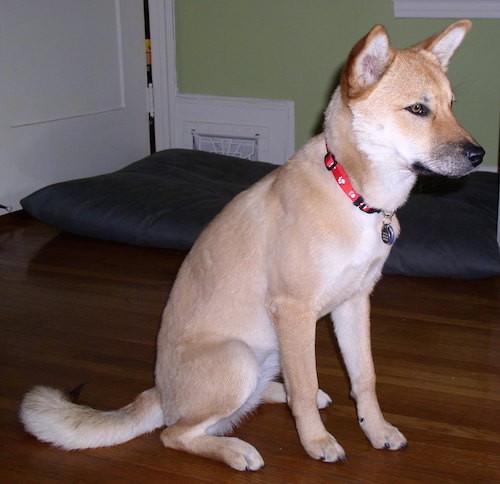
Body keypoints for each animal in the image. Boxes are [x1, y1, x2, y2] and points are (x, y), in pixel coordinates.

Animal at [20, 20, 484, 470]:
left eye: (452, 105)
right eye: (418, 109)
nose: (479, 155)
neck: (353, 193)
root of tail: (159, 395)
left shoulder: (353, 303)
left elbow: (363, 377)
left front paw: (377, 430)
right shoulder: (295, 311)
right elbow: (308, 381)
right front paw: (317, 442)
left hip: (270, 350)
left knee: (257, 398)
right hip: (240, 357)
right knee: (178, 433)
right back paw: (237, 450)